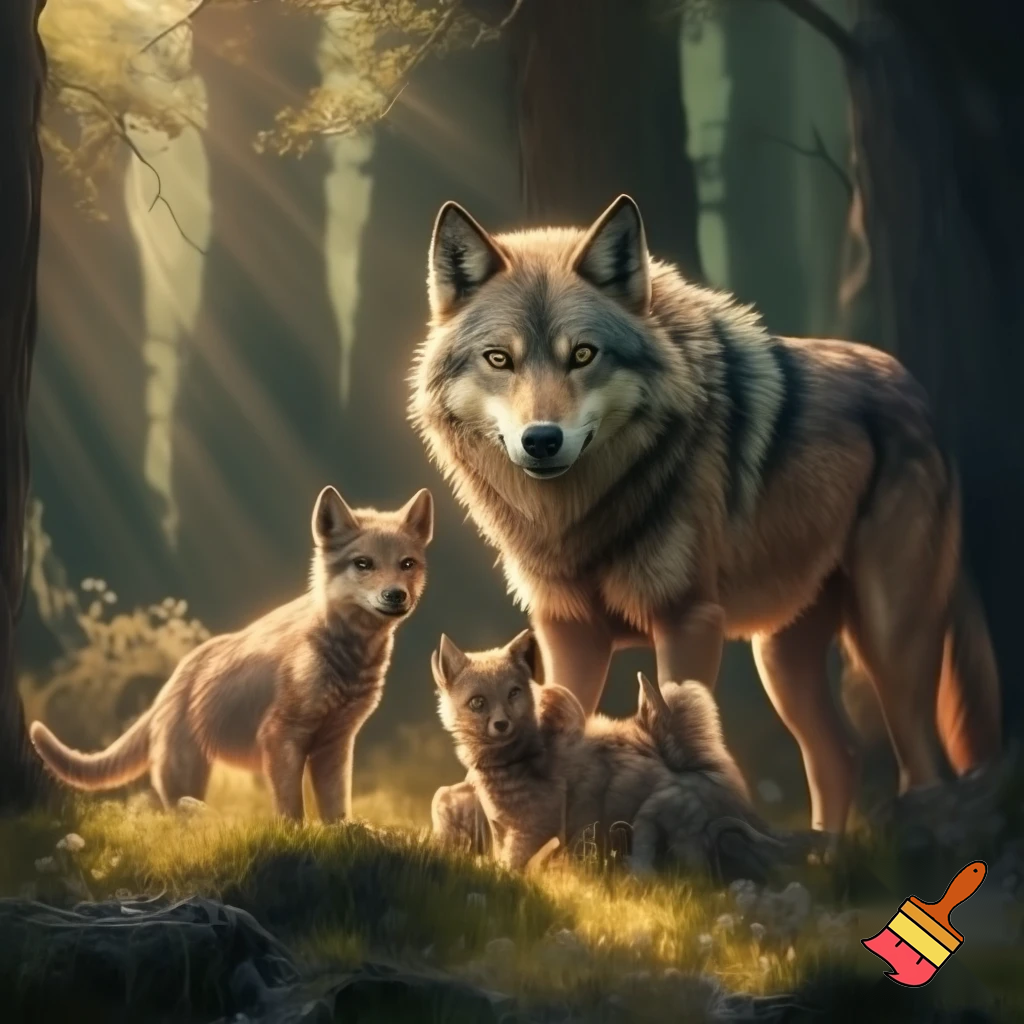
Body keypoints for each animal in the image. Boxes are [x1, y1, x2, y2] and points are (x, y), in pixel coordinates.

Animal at [30, 486, 434, 821]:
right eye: (363, 564)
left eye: (407, 564)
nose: (396, 595)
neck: (348, 661)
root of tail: (170, 687)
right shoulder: (281, 736)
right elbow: (291, 811)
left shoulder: (336, 743)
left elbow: (336, 810)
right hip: (185, 780)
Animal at [409, 192, 1001, 835]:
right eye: (499, 359)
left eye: (583, 355)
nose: (542, 440)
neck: (584, 513)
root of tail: (918, 395)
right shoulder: (566, 629)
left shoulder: (687, 619)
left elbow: (681, 726)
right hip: (780, 655)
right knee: (839, 752)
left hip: (889, 639)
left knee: (922, 763)